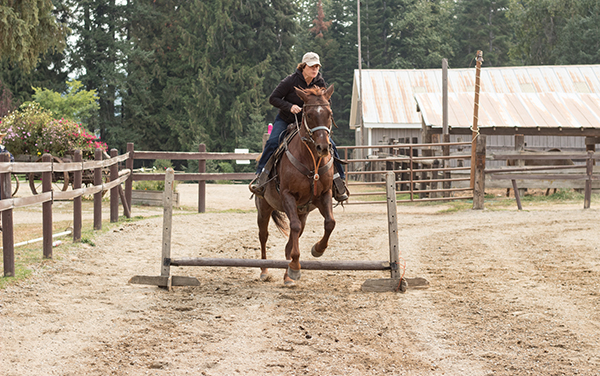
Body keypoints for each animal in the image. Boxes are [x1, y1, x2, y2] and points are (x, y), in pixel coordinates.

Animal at [254, 84, 336, 284]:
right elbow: (294, 228)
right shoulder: (288, 196)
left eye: (329, 113)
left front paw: (317, 249)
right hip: (264, 207)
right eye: (309, 114)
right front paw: (296, 267)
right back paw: (264, 271)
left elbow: (330, 222)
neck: (311, 161)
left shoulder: (324, 195)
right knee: (263, 236)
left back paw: (287, 274)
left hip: (302, 212)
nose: (323, 147)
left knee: (291, 239)